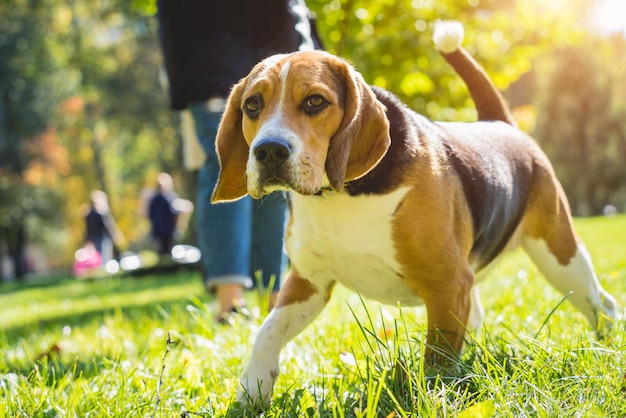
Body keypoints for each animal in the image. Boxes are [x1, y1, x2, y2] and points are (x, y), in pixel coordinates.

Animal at [208, 22, 616, 402]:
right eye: (252, 105)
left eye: (314, 102)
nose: (268, 150)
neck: (340, 196)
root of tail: (500, 123)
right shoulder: (308, 282)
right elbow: (267, 332)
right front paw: (251, 390)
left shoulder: (447, 284)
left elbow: (437, 357)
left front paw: (434, 394)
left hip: (560, 257)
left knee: (602, 303)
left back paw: (606, 343)